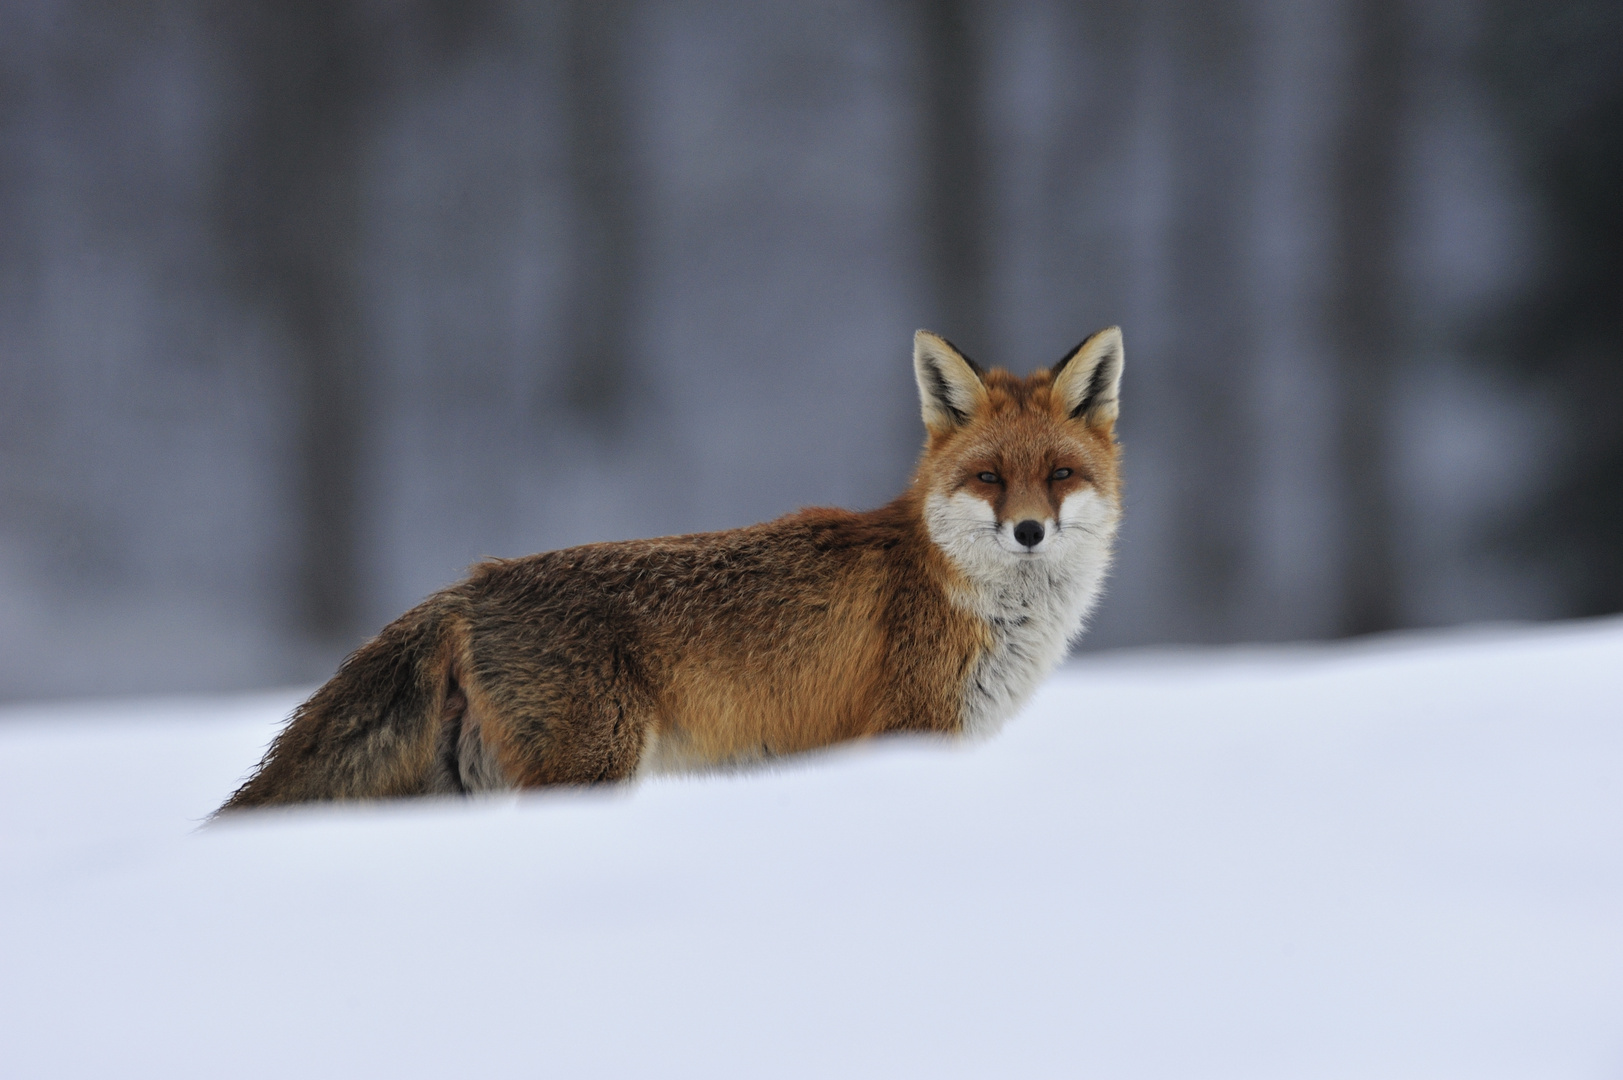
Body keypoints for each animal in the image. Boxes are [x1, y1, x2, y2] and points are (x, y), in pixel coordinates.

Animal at [222, 328, 1123, 808]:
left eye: (1059, 474)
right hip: (590, 768)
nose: (1030, 531)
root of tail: (471, 583)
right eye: (989, 479)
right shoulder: (908, 730)